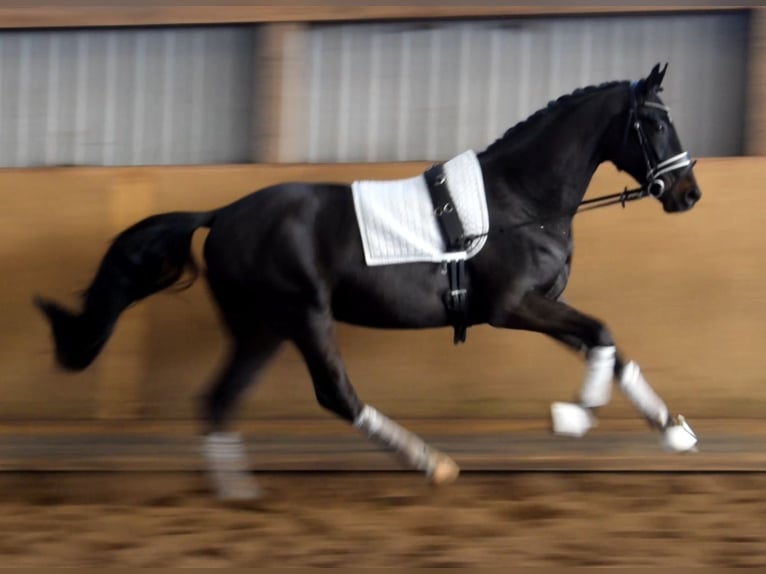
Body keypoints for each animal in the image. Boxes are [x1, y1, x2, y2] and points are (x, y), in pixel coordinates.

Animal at [39, 65, 704, 502]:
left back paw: (235, 490)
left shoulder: (541, 304)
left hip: (261, 329)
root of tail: (222, 214)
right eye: (653, 123)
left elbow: (607, 344)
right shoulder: (512, 306)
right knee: (335, 394)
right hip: (302, 316)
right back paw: (430, 462)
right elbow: (602, 334)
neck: (519, 201)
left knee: (220, 399)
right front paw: (576, 416)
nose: (687, 193)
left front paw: (672, 431)